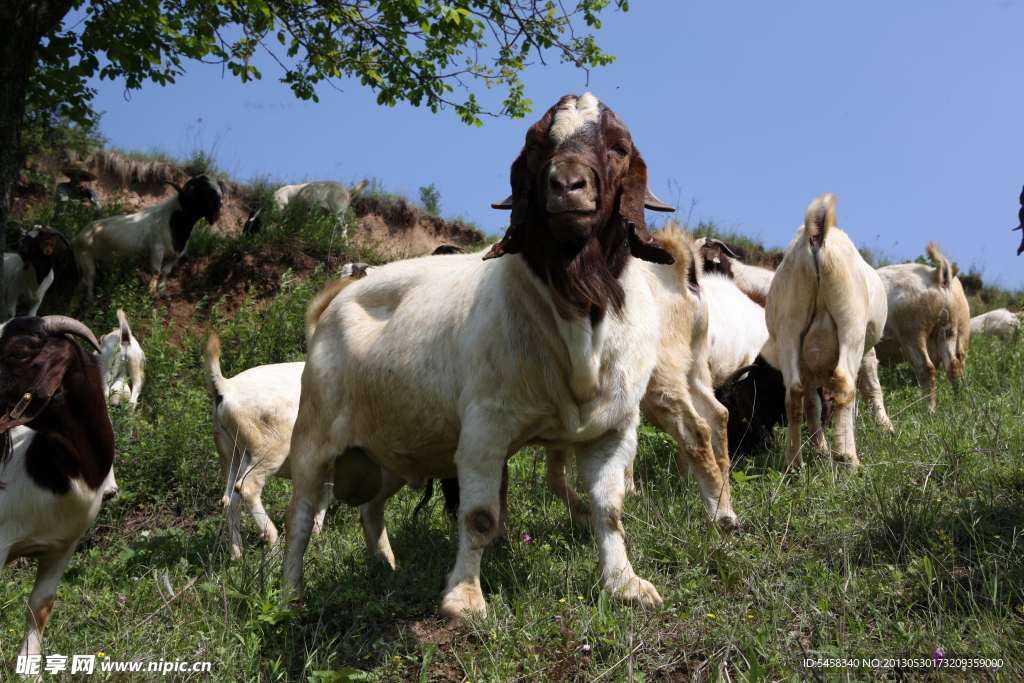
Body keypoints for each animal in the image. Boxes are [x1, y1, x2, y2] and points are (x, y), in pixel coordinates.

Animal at [70, 176, 222, 301]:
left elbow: (166, 273)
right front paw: (151, 292)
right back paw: (90, 300)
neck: (172, 218)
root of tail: (77, 237)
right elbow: (156, 271)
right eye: (204, 187)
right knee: (90, 278)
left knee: (82, 283)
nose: (220, 203)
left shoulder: (174, 256)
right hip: (86, 259)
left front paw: (163, 292)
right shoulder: (157, 249)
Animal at [765, 192, 892, 471]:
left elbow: (813, 404)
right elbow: (870, 386)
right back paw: (847, 457)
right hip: (851, 323)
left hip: (789, 326)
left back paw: (793, 463)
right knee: (845, 383)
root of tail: (817, 234)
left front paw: (819, 449)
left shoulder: (804, 360)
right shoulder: (865, 348)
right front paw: (885, 426)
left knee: (794, 394)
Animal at [872, 242, 974, 409]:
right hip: (952, 334)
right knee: (955, 367)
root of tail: (937, 276)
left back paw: (929, 410)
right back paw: (960, 403)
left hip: (912, 333)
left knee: (926, 368)